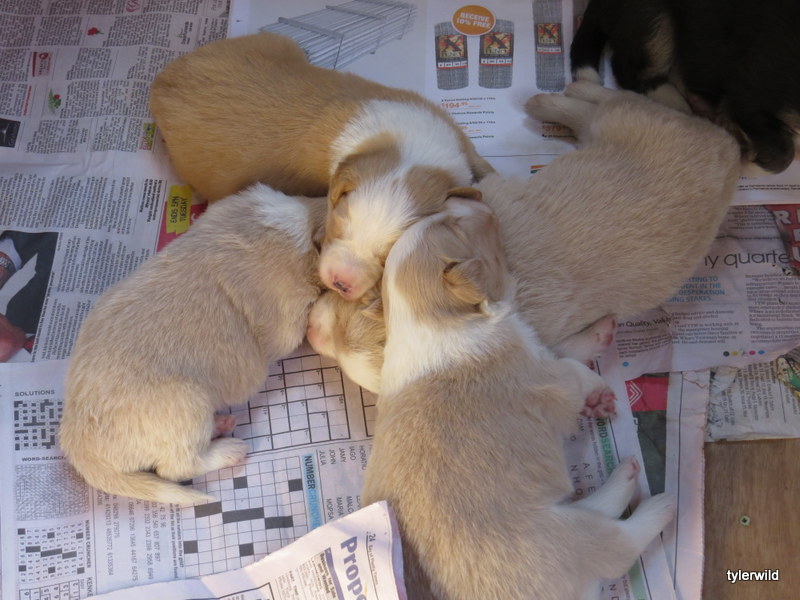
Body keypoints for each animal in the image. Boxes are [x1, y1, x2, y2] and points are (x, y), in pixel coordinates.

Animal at [59, 184, 327, 505]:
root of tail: (77, 443)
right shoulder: (289, 317)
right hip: (189, 404)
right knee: (177, 467)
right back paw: (229, 450)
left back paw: (221, 426)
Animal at [149, 33, 493, 301]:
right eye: (339, 225)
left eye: (387, 256)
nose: (340, 283)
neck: (412, 151)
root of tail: (160, 82)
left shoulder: (455, 136)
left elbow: (481, 164)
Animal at [307, 81, 741, 393]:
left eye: (350, 310)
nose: (310, 331)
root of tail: (730, 148)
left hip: (632, 122)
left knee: (617, 102)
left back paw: (553, 97)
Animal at [361, 197, 676, 600]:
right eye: (454, 225)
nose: (465, 198)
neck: (423, 319)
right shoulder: (547, 374)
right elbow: (574, 368)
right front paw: (598, 390)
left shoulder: (537, 351)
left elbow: (562, 348)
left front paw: (596, 356)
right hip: (566, 538)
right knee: (617, 545)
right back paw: (658, 500)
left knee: (597, 510)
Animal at [570, 0, 800, 175]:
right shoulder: (749, 91)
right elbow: (782, 153)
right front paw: (746, 160)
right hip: (652, 20)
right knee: (628, 70)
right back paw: (677, 102)